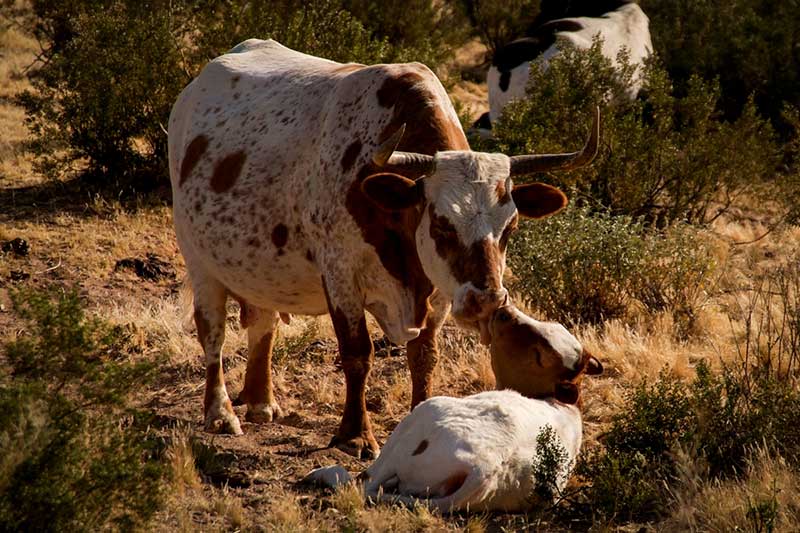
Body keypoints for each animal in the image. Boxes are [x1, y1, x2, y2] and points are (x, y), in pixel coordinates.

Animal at [306, 304, 600, 512]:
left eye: (538, 353)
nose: (504, 312)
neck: (560, 404)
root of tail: (483, 472)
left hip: (421, 417)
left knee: (361, 482)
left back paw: (321, 473)